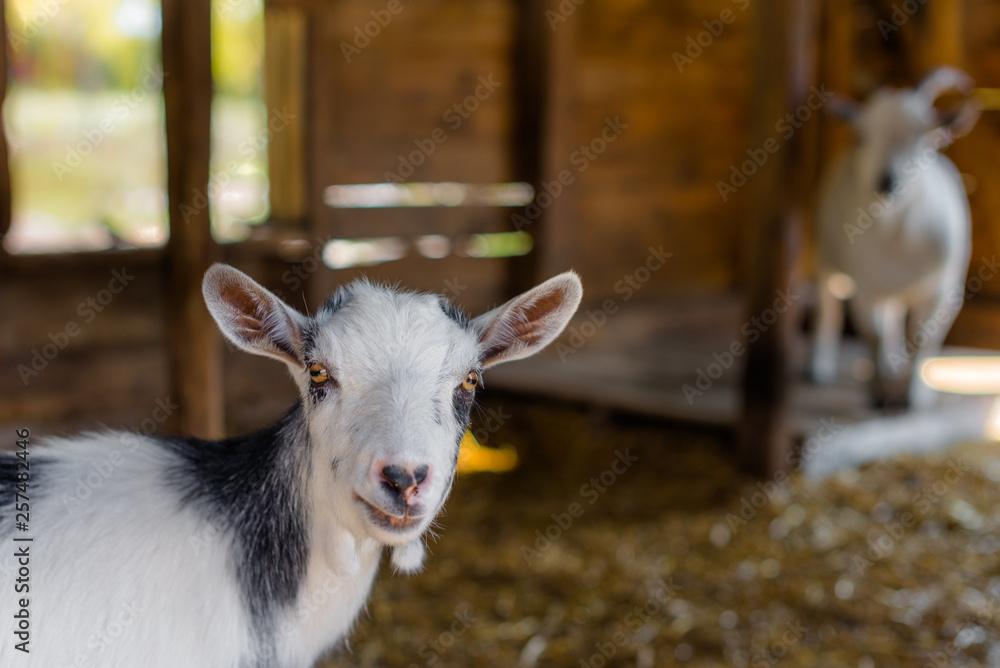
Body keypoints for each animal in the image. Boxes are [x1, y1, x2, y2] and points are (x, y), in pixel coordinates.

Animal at [809, 66, 981, 409]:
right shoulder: (866, 288)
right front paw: (879, 393)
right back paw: (821, 366)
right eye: (861, 136)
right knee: (829, 303)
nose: (886, 181)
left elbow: (923, 335)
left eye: (922, 135)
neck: (898, 236)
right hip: (827, 258)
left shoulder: (943, 289)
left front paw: (913, 396)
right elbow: (872, 335)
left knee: (895, 318)